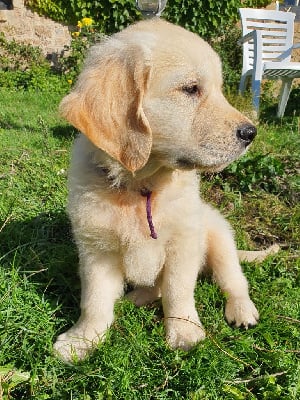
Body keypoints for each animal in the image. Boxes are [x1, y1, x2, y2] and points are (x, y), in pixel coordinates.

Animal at [54, 18, 260, 362]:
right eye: (191, 89)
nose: (250, 133)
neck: (141, 187)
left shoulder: (184, 243)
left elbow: (178, 291)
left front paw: (185, 332)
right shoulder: (96, 249)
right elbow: (94, 300)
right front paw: (82, 339)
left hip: (219, 238)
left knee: (234, 280)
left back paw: (242, 310)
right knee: (155, 287)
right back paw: (137, 296)